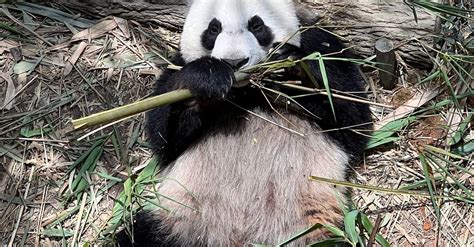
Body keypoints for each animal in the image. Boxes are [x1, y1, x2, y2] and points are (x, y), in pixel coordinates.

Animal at [116, 0, 372, 246]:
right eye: (214, 28)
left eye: (256, 25)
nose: (235, 61)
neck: (246, 91)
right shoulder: (178, 65)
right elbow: (164, 137)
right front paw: (208, 78)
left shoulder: (322, 46)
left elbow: (352, 119)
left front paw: (289, 70)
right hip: (181, 218)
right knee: (139, 234)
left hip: (312, 224)